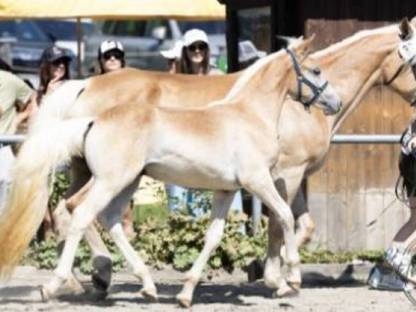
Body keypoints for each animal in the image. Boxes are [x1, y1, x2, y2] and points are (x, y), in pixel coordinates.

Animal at [0, 37, 340, 304]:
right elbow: (284, 215)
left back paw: (146, 285)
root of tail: (94, 120)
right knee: (82, 214)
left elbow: (213, 236)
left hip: (127, 182)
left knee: (110, 220)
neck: (249, 114)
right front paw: (291, 280)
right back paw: (55, 285)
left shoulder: (226, 189)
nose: (335, 102)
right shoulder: (257, 180)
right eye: (316, 70)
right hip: (111, 180)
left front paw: (186, 294)